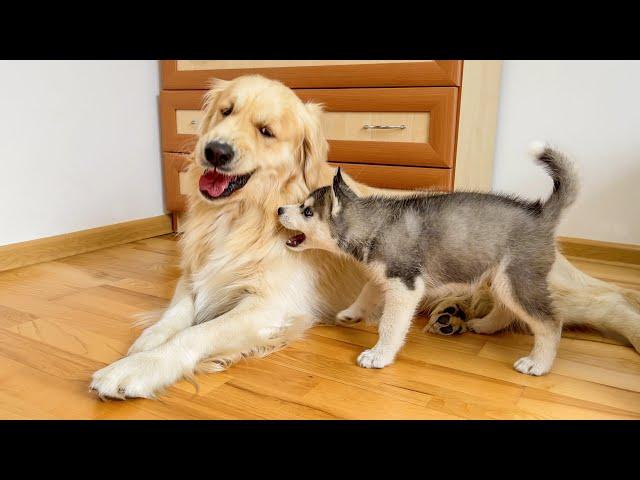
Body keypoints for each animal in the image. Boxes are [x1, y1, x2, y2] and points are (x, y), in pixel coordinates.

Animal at [278, 142, 576, 376]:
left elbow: (390, 324)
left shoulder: (405, 286)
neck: (375, 225)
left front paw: (379, 355)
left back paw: (538, 364)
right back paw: (484, 325)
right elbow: (367, 292)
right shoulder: (386, 276)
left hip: (517, 280)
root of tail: (540, 213)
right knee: (506, 308)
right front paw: (351, 313)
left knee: (550, 322)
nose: (279, 209)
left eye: (306, 211)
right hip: (499, 278)